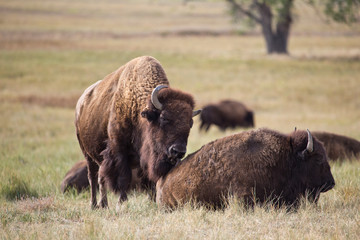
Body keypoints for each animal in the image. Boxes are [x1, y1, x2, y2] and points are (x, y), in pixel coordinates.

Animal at [75, 55, 201, 208]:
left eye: (190, 123)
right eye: (164, 118)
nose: (178, 151)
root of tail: (80, 103)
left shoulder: (144, 158)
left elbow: (149, 180)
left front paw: (152, 201)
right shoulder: (119, 150)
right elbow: (123, 177)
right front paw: (122, 202)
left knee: (101, 178)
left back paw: (103, 204)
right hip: (87, 154)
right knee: (93, 177)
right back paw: (94, 205)